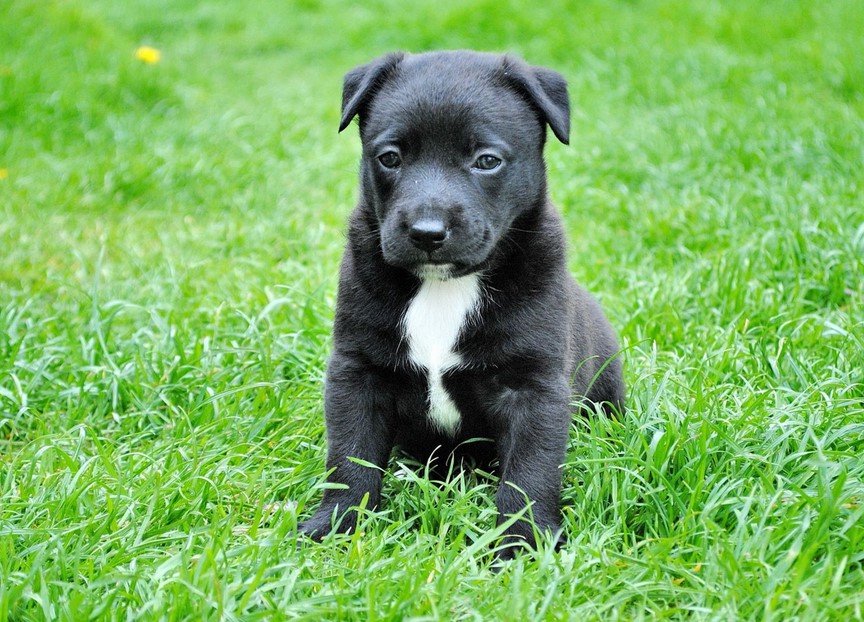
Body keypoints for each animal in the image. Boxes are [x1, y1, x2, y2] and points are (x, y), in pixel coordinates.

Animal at [300, 51, 624, 560]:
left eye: (486, 161)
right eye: (390, 158)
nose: (427, 232)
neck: (444, 287)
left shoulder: (533, 387)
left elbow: (529, 473)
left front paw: (522, 545)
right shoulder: (358, 372)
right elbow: (350, 457)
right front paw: (335, 524)